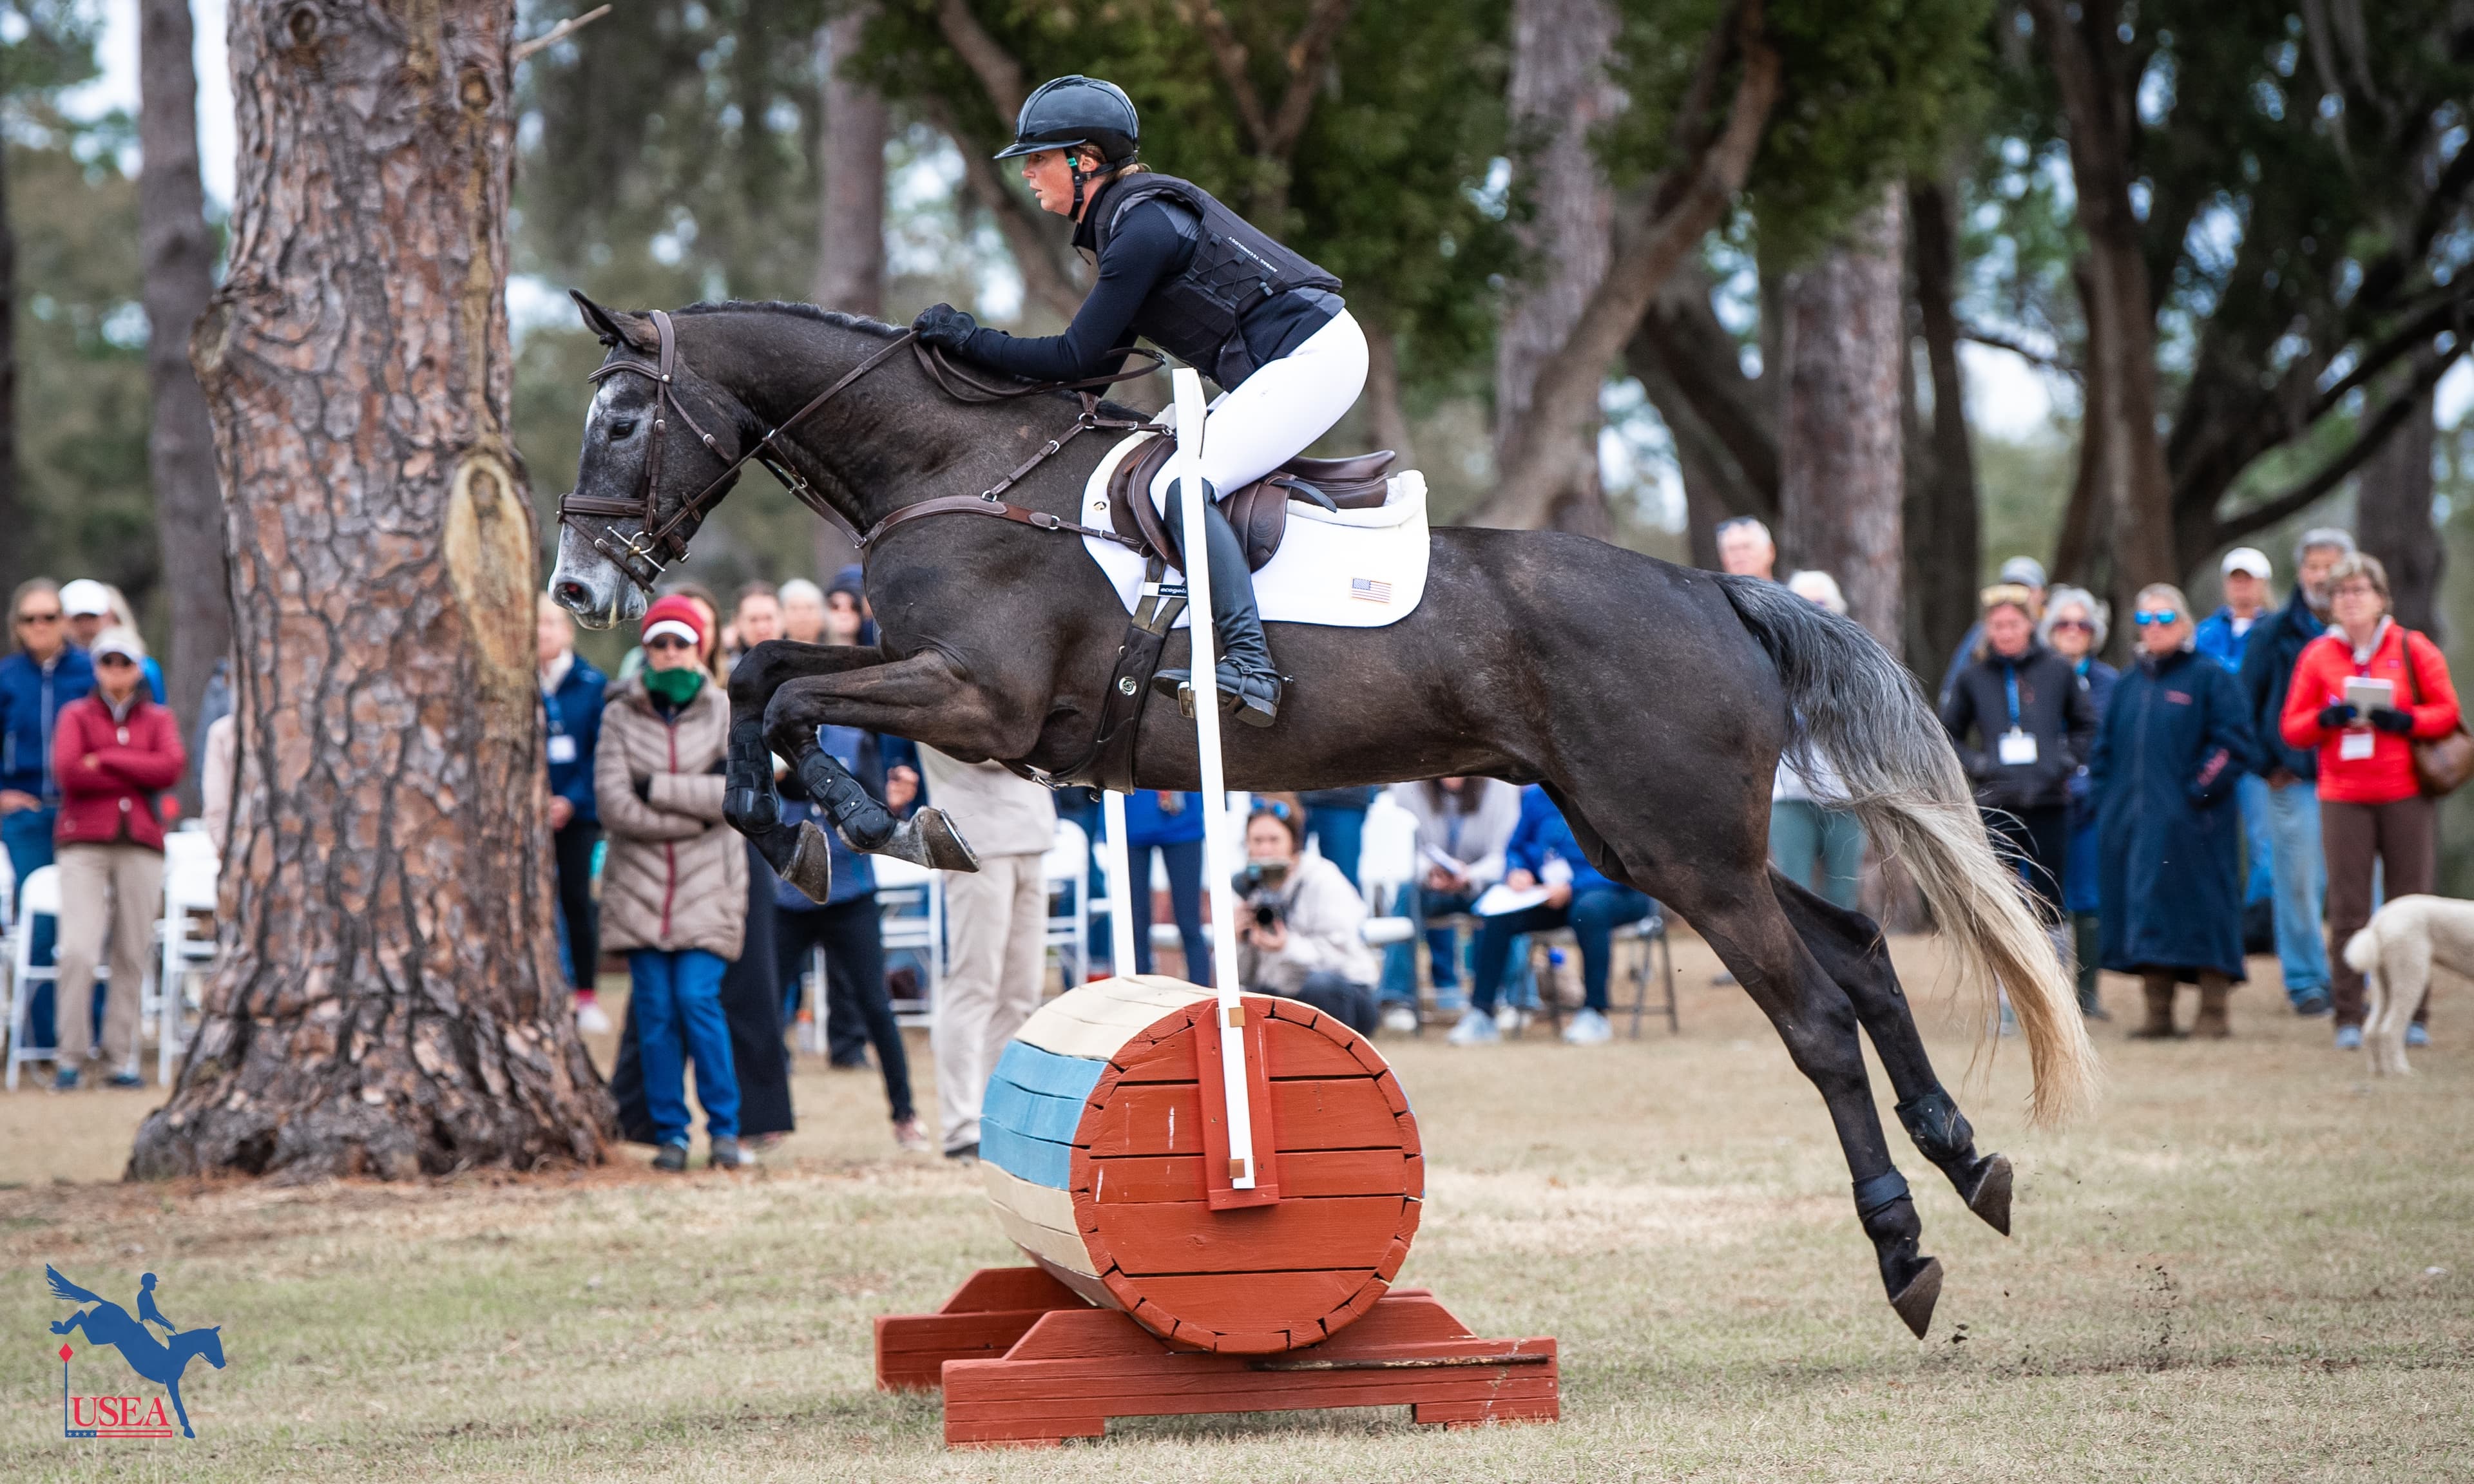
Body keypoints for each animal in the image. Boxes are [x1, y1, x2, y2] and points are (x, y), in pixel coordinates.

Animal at [47, 1267, 226, 1438]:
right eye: (214, 1344)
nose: (222, 1364)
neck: (178, 1351)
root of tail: (106, 1302)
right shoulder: (170, 1380)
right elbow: (178, 1405)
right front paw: (188, 1430)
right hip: (100, 1337)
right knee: (81, 1315)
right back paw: (60, 1328)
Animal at [545, 295, 2100, 1337]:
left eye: (620, 417)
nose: (575, 589)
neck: (958, 476)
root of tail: (1711, 587)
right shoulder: (941, 689)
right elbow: (769, 681)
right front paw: (825, 820)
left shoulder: (978, 702)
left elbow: (782, 689)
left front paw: (853, 820)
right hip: (1644, 836)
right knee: (1863, 953)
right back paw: (1972, 1162)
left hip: (1678, 851)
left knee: (1820, 1020)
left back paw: (1906, 1251)